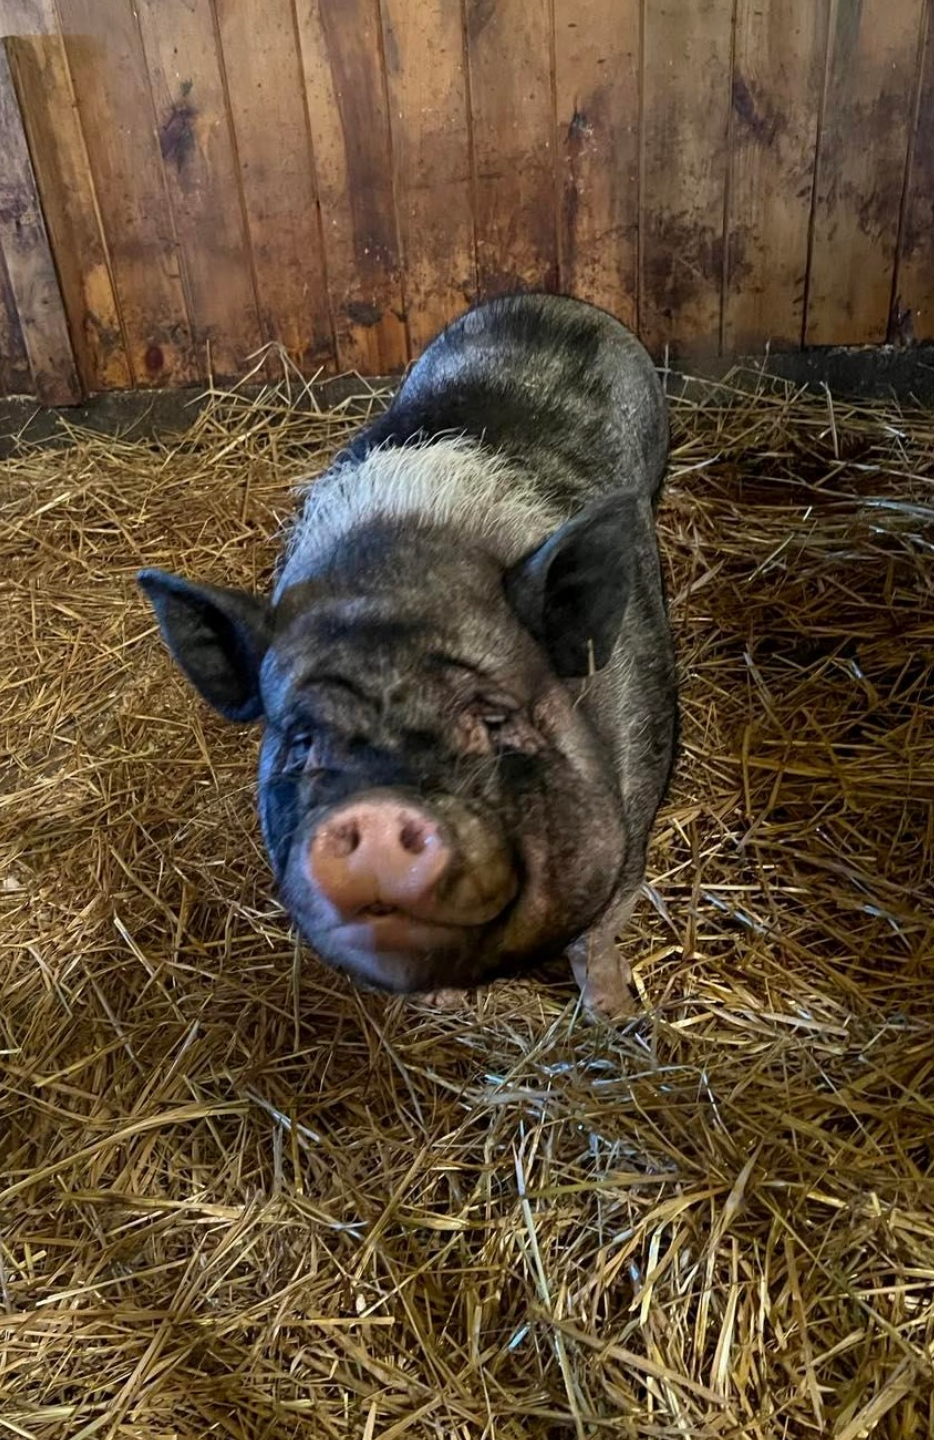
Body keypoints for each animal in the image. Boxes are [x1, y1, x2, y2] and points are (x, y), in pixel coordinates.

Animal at [138, 293, 677, 1019]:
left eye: (491, 719)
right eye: (302, 739)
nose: (379, 809)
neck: (396, 572)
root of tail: (543, 300)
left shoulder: (639, 796)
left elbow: (597, 935)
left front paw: (617, 1018)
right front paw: (446, 1002)